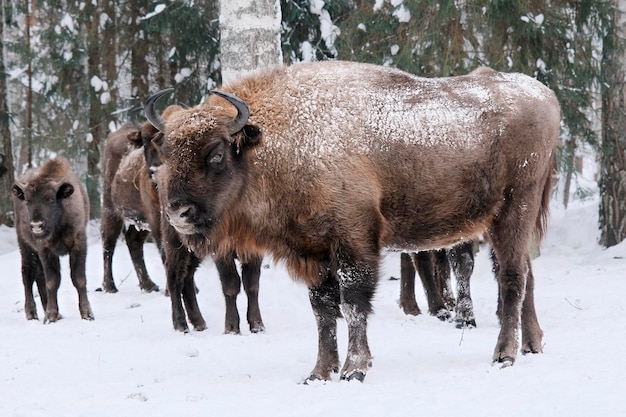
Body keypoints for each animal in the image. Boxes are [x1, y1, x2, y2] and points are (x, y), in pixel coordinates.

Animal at [12, 156, 94, 322]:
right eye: (28, 201)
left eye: (51, 199)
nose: (36, 225)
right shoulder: (44, 248)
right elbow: (52, 281)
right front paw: (50, 316)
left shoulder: (79, 243)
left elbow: (79, 278)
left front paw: (87, 314)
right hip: (25, 245)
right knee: (28, 274)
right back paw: (32, 314)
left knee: (38, 276)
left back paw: (54, 313)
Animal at [144, 60, 560, 382]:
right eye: (168, 152)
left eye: (216, 153)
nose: (177, 211)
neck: (279, 139)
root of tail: (545, 96)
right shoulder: (313, 253)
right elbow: (323, 310)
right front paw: (319, 372)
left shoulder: (353, 243)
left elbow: (353, 304)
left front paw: (353, 369)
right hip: (507, 221)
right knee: (525, 274)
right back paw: (532, 344)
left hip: (514, 210)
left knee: (512, 277)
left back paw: (505, 354)